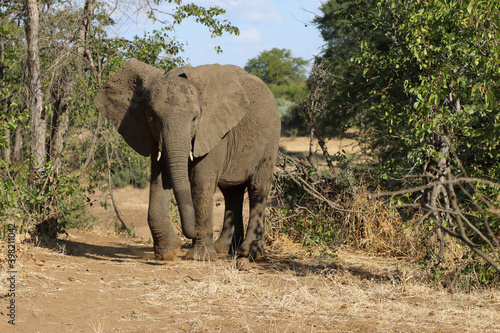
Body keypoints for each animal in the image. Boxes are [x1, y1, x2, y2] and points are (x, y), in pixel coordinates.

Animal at [93, 59, 282, 260]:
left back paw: (249, 252)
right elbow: (160, 179)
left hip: (271, 140)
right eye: (152, 117)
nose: (190, 233)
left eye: (195, 118)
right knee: (232, 192)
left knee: (257, 188)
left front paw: (199, 257)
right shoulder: (153, 134)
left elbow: (201, 181)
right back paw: (225, 250)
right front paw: (168, 251)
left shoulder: (214, 130)